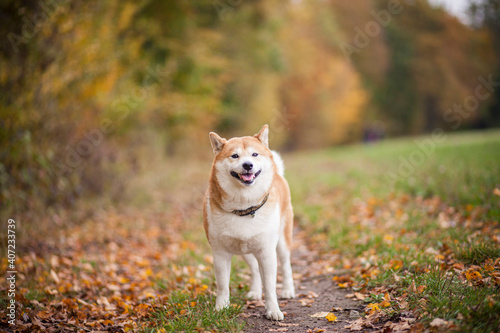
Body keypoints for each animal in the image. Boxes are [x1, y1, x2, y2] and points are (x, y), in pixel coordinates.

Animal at [203, 124, 294, 320]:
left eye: (254, 154)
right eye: (235, 156)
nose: (247, 165)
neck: (244, 208)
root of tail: (278, 175)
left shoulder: (267, 252)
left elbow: (270, 287)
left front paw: (273, 310)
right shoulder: (220, 254)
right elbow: (222, 285)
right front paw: (221, 307)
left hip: (282, 241)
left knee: (286, 265)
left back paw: (288, 290)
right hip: (245, 251)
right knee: (254, 270)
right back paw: (255, 291)